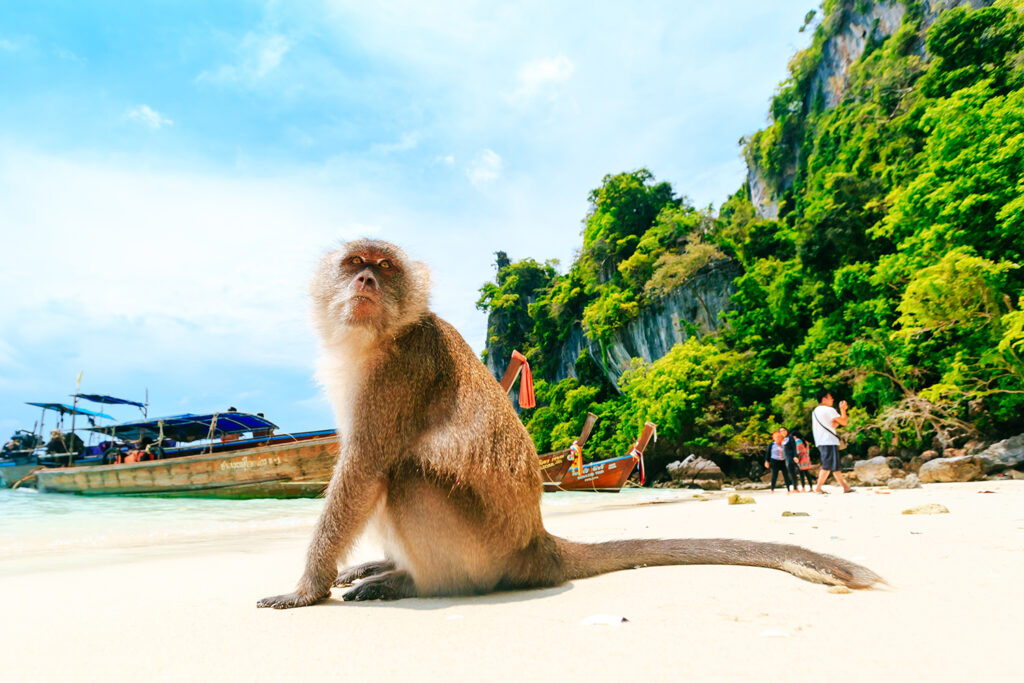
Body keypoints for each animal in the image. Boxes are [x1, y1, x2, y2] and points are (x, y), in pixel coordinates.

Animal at [258, 239, 880, 610]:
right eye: (353, 264)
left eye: (383, 268)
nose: (365, 282)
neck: (379, 337)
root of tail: (538, 544)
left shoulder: (398, 372)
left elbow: (363, 470)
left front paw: (305, 590)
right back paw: (388, 567)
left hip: (481, 551)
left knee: (404, 474)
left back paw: (411, 581)